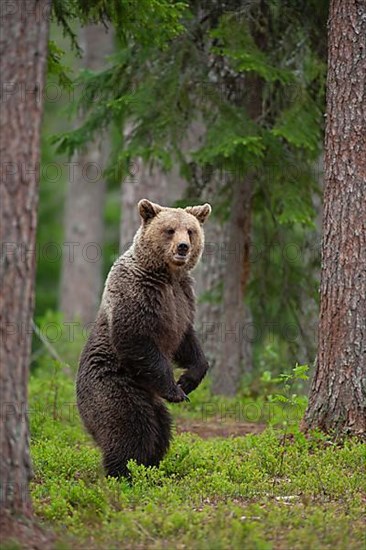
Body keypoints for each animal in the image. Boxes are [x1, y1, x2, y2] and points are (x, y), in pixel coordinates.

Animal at [77, 199, 212, 478]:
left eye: (190, 230)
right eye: (170, 230)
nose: (183, 247)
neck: (167, 275)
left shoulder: (183, 298)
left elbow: (187, 340)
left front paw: (188, 380)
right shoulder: (137, 292)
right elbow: (136, 338)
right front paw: (175, 390)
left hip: (152, 402)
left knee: (161, 430)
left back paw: (149, 468)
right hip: (114, 386)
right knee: (131, 429)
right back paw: (125, 472)